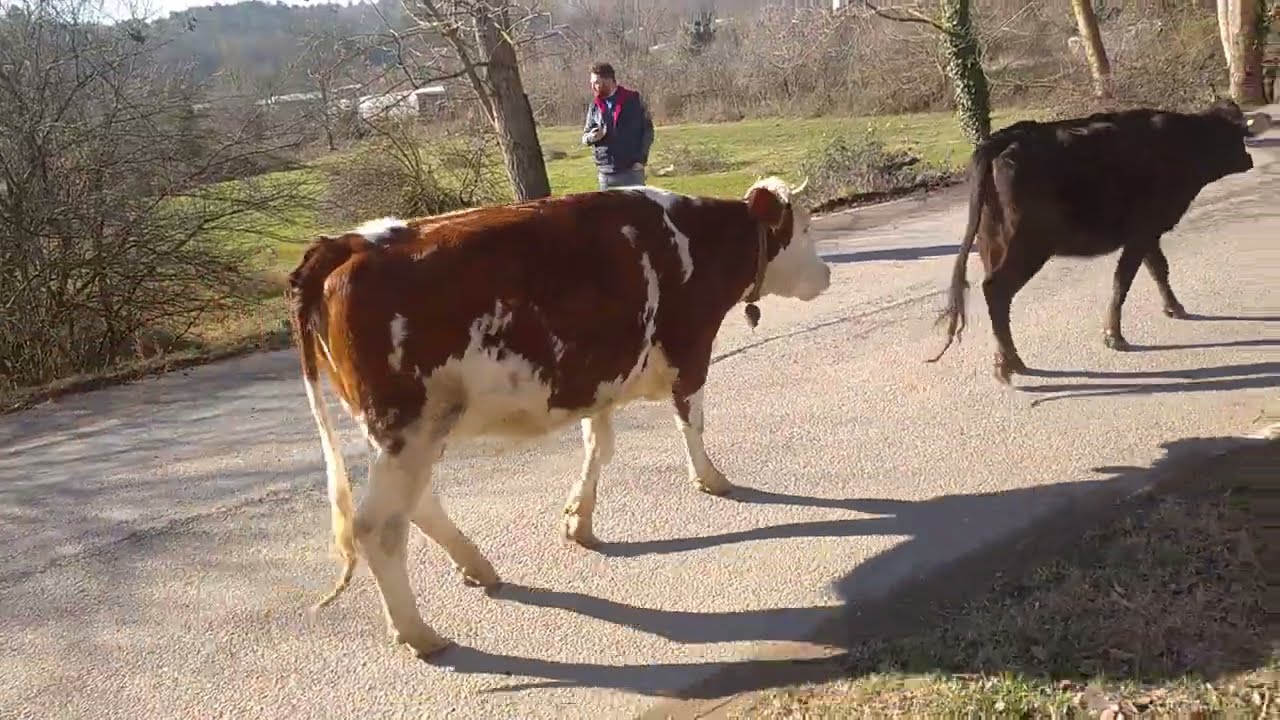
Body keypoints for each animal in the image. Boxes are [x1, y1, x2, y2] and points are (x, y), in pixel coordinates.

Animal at [286, 177, 830, 657]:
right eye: (804, 228)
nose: (827, 274)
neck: (698, 241)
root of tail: (346, 243)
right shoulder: (691, 350)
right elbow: (689, 422)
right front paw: (711, 479)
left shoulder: (599, 379)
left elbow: (598, 446)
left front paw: (578, 521)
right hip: (406, 427)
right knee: (379, 527)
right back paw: (419, 633)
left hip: (408, 430)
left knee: (417, 503)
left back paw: (476, 566)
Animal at [926, 98, 1259, 384]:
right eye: (1238, 134)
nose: (1249, 159)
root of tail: (1005, 137)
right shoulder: (1142, 231)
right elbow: (1123, 280)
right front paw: (1114, 335)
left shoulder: (1148, 232)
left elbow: (1158, 270)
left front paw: (1174, 308)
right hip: (1028, 244)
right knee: (996, 289)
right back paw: (1014, 363)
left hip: (992, 243)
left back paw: (1002, 359)